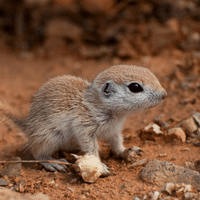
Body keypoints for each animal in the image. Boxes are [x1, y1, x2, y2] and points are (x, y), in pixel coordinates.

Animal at [0, 64, 166, 175]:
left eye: (149, 72)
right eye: (135, 87)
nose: (164, 94)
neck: (98, 104)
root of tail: (26, 125)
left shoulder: (114, 130)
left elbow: (117, 144)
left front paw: (127, 151)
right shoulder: (84, 127)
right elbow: (91, 148)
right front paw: (100, 166)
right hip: (48, 137)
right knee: (38, 153)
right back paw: (53, 163)